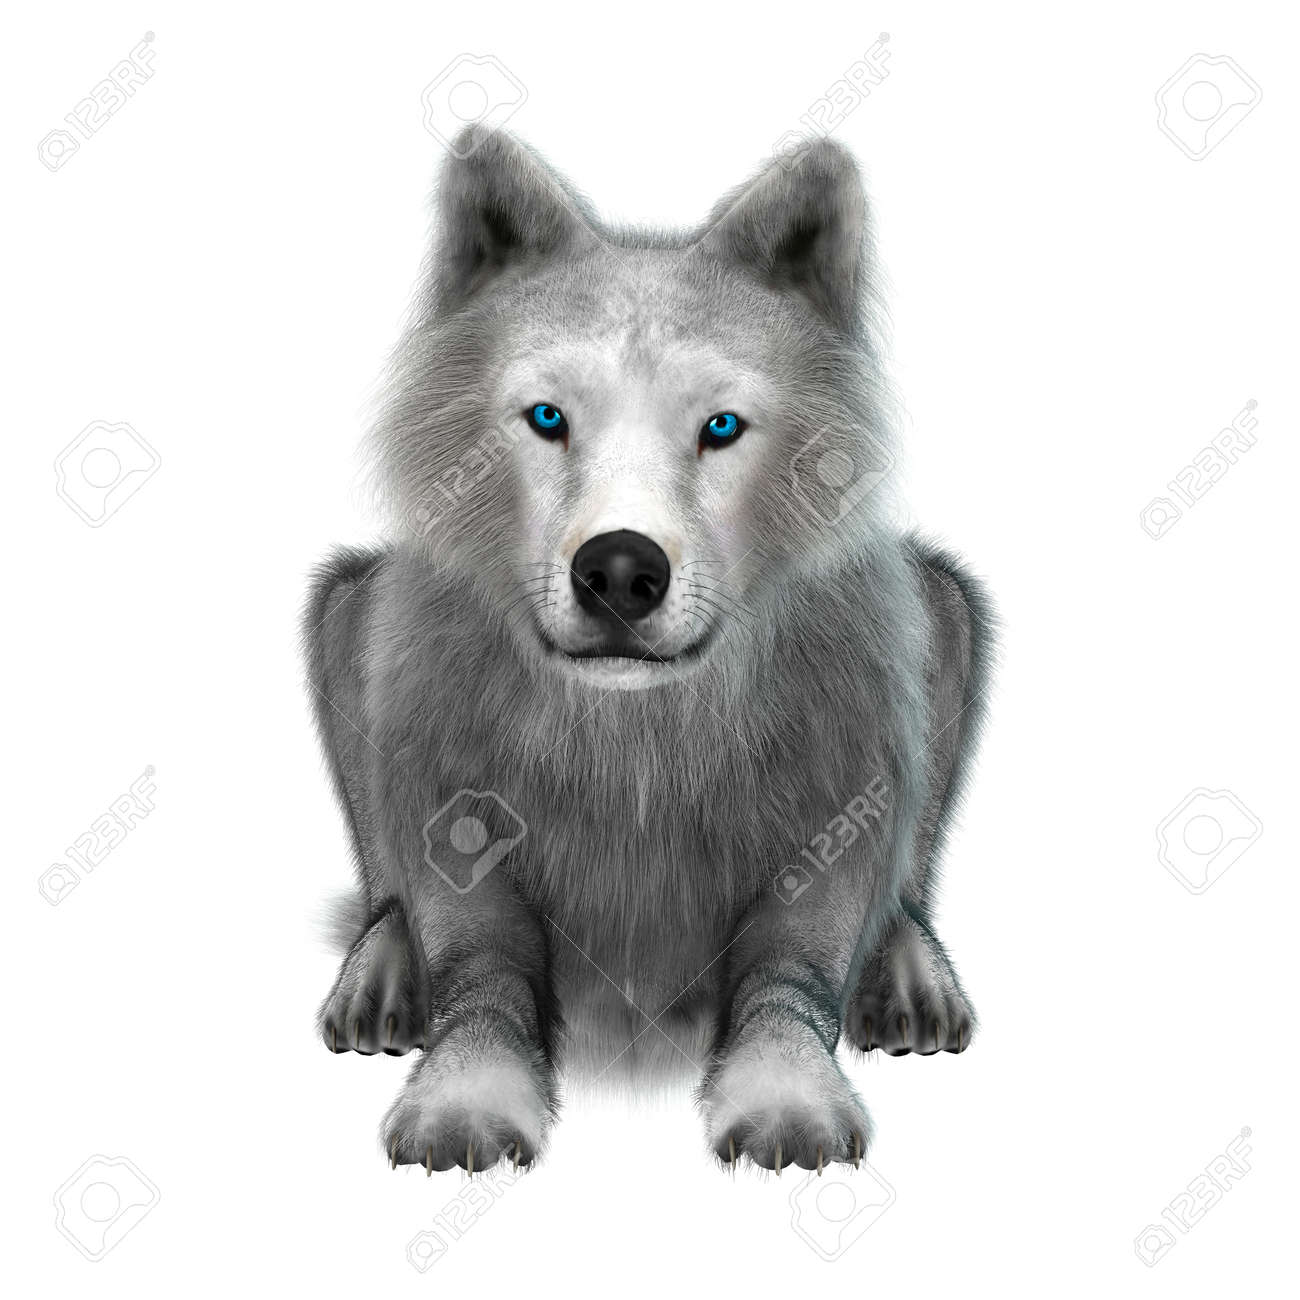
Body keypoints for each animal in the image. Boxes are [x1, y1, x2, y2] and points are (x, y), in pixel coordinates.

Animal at [305, 128, 993, 1176]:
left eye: (721, 427)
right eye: (549, 418)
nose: (621, 571)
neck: (638, 749)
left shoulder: (828, 827)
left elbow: (790, 986)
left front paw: (787, 1093)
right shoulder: (463, 844)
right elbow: (482, 985)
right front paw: (463, 1094)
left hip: (946, 609)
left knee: (908, 880)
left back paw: (914, 975)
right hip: (348, 609)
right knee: (384, 881)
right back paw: (380, 976)